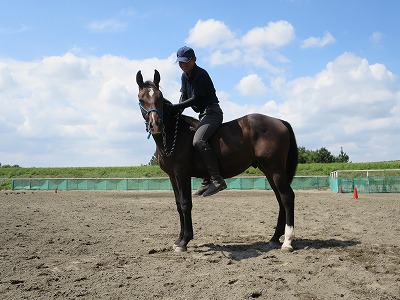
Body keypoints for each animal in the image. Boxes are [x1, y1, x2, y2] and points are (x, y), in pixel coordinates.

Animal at [136, 69, 298, 252]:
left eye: (160, 97)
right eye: (141, 99)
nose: (156, 125)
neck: (173, 135)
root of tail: (279, 121)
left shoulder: (182, 173)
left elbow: (185, 204)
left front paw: (184, 241)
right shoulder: (172, 176)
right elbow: (178, 204)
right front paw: (178, 240)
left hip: (275, 169)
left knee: (287, 197)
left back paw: (287, 241)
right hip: (269, 171)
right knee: (280, 199)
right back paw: (275, 238)